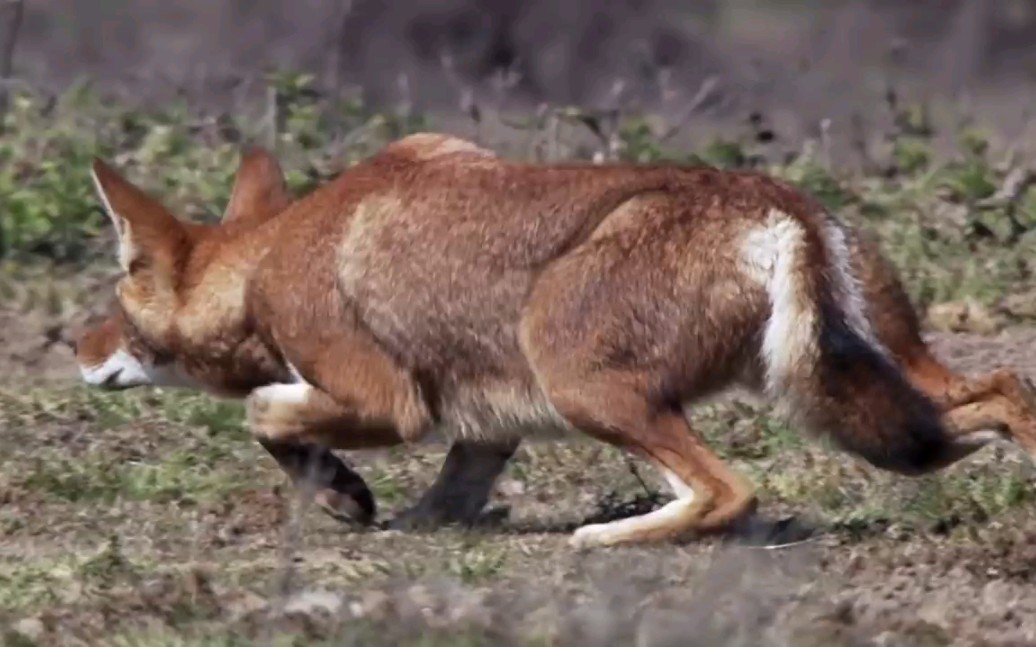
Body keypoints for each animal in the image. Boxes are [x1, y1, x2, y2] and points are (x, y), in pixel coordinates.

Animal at [68, 133, 1036, 546]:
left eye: (118, 286)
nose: (75, 346)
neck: (270, 257)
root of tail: (779, 200)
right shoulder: (483, 429)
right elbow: (446, 498)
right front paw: (380, 508)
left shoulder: (392, 402)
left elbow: (267, 413)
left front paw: (341, 490)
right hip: (879, 404)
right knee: (1005, 389)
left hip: (582, 380)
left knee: (730, 491)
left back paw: (608, 537)